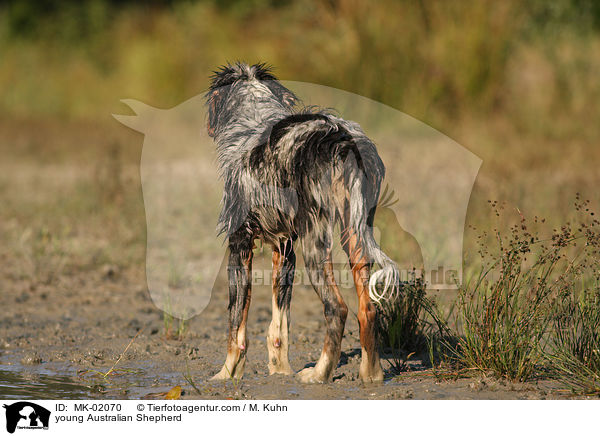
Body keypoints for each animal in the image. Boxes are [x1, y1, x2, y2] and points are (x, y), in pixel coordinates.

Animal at [206, 62, 398, 382]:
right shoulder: (284, 250)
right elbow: (278, 328)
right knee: (367, 311)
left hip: (316, 246)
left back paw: (319, 374)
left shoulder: (239, 246)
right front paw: (280, 371)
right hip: (355, 236)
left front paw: (225, 375)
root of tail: (342, 137)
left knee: (337, 308)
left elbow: (236, 327)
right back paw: (371, 374)